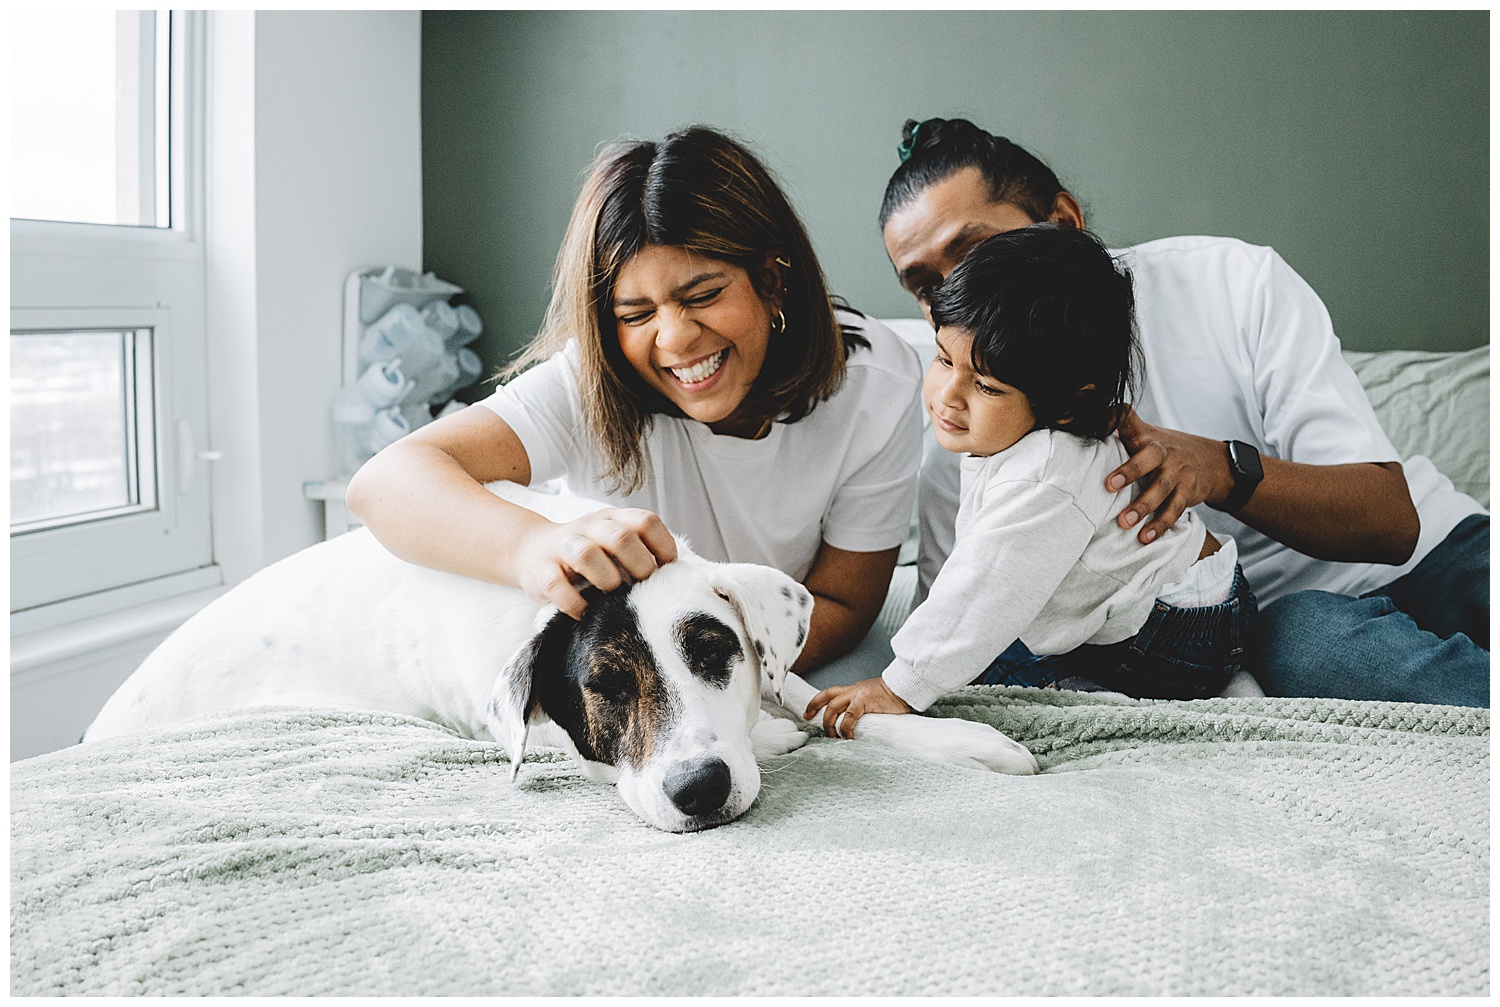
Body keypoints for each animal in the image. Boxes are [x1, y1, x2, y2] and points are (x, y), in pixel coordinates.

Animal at [84, 482, 1038, 831]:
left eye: (712, 648)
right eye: (602, 687)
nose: (700, 790)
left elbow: (823, 697)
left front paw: (958, 740)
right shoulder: (511, 717)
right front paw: (774, 740)